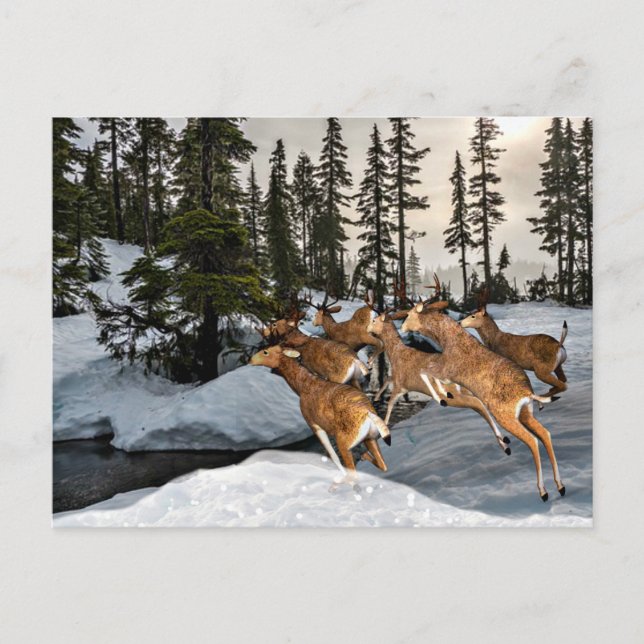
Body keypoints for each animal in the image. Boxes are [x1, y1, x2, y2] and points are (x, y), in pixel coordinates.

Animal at [249, 345, 391, 491]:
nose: (250, 360)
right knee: (382, 465)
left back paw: (337, 484)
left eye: (265, 352)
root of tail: (369, 415)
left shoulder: (313, 424)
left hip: (344, 442)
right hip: (370, 438)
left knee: (355, 473)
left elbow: (332, 455)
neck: (302, 387)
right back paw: (362, 459)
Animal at [366, 310, 512, 456]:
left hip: (458, 398)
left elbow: (390, 403)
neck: (395, 354)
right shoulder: (400, 383)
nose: (367, 329)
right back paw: (504, 443)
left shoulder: (400, 385)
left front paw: (385, 428)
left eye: (374, 320)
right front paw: (376, 398)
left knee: (479, 404)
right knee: (481, 405)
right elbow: (387, 380)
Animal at [398, 274, 565, 502]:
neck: (448, 340)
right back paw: (560, 486)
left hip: (505, 414)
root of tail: (527, 393)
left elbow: (425, 372)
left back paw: (543, 491)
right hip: (525, 412)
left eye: (408, 314)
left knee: (533, 440)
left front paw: (443, 396)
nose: (401, 328)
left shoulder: (446, 368)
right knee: (545, 433)